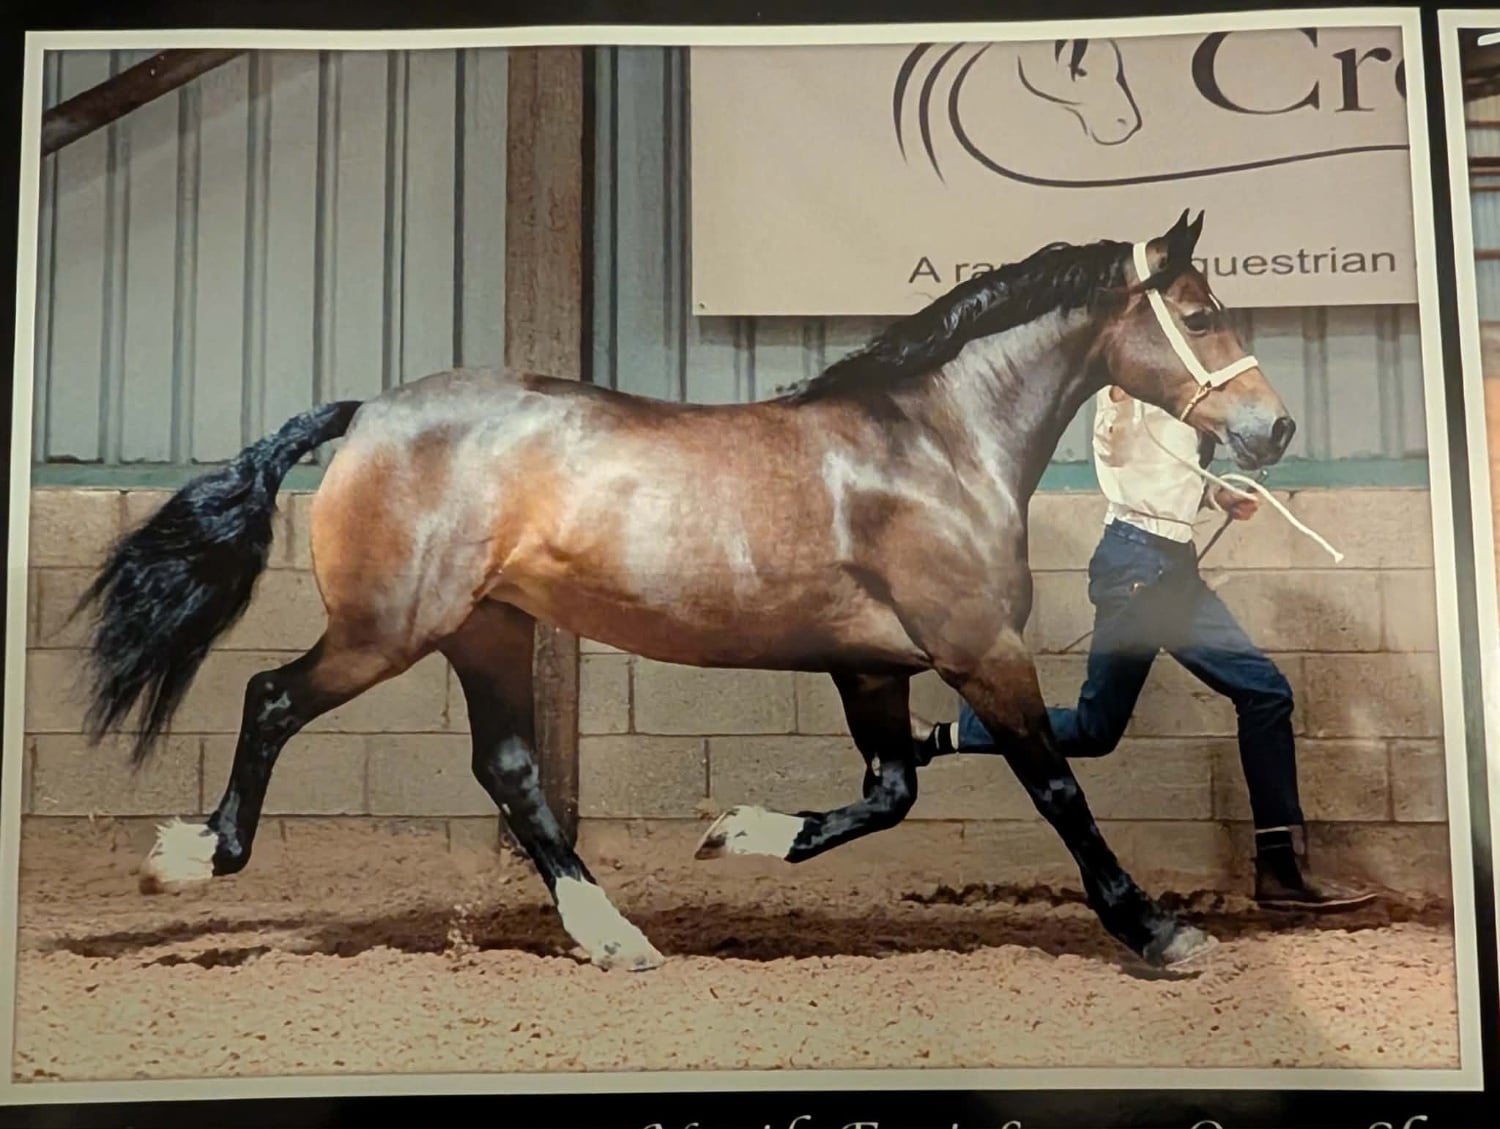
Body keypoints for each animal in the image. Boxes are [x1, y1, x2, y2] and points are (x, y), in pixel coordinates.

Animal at [71, 209, 1294, 975]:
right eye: (1200, 309)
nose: (1273, 428)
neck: (936, 446)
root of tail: (368, 409)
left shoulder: (874, 665)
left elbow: (891, 790)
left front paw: (738, 831)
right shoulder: (975, 648)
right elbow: (1055, 789)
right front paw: (1160, 934)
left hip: (485, 631)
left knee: (509, 769)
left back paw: (611, 933)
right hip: (387, 629)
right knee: (273, 699)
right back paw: (193, 857)